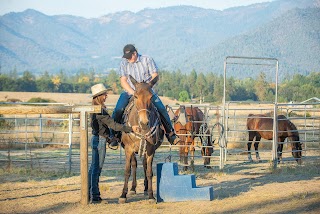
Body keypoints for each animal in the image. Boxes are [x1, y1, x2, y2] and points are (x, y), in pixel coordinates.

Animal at [120, 75, 165, 204]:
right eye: (135, 96)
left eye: (151, 97)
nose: (144, 122)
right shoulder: (128, 149)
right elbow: (127, 170)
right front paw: (123, 195)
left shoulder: (150, 150)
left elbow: (149, 171)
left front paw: (151, 195)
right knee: (134, 165)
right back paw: (133, 188)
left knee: (144, 164)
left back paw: (145, 188)